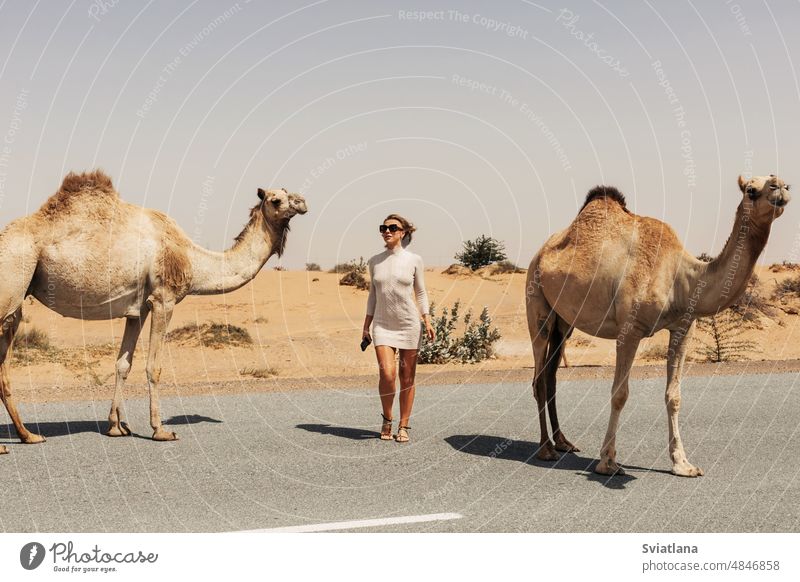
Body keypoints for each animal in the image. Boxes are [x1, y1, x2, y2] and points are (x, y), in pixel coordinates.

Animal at [0, 170, 306, 452]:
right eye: (276, 199)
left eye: (289, 192)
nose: (302, 202)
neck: (190, 257)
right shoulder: (163, 300)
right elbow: (153, 367)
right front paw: (160, 429)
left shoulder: (138, 310)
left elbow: (123, 364)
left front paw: (116, 426)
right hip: (13, 280)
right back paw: (11, 443)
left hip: (16, 302)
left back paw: (28, 435)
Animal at [524, 175, 788, 480]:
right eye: (751, 190)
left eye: (782, 183)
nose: (780, 187)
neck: (683, 278)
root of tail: (540, 253)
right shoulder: (630, 329)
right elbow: (620, 393)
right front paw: (608, 462)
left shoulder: (684, 327)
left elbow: (674, 396)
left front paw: (683, 464)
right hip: (537, 301)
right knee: (539, 376)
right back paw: (546, 448)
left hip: (564, 322)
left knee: (551, 374)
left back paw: (563, 441)